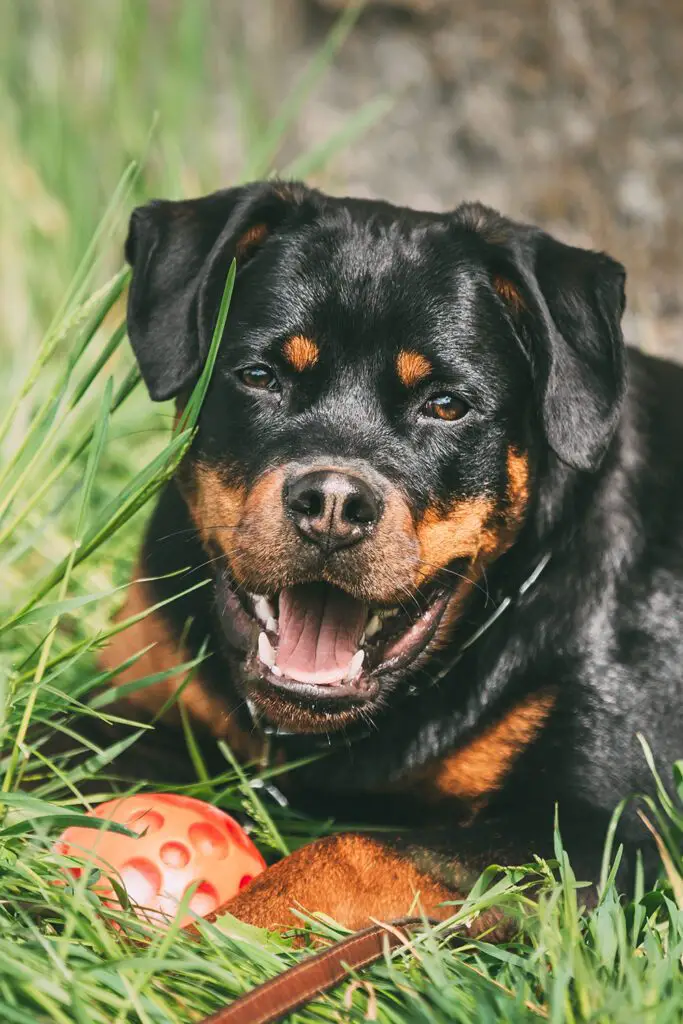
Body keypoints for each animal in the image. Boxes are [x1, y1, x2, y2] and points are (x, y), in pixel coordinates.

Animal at [98, 180, 679, 933]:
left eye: (447, 405)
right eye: (258, 376)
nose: (333, 502)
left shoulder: (602, 835)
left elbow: (353, 849)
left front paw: (208, 941)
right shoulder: (135, 705)